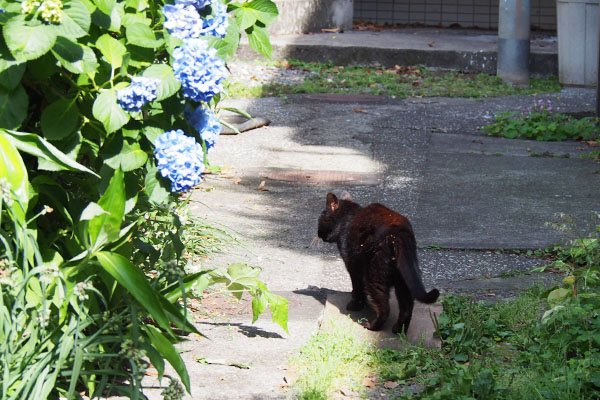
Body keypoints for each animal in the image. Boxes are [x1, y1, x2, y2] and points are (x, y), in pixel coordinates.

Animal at [318, 192, 440, 332]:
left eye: (319, 220)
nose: (318, 233)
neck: (347, 219)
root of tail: (399, 233)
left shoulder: (353, 266)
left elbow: (358, 288)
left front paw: (355, 304)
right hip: (404, 278)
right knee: (407, 306)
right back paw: (399, 330)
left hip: (374, 275)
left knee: (384, 307)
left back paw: (372, 326)